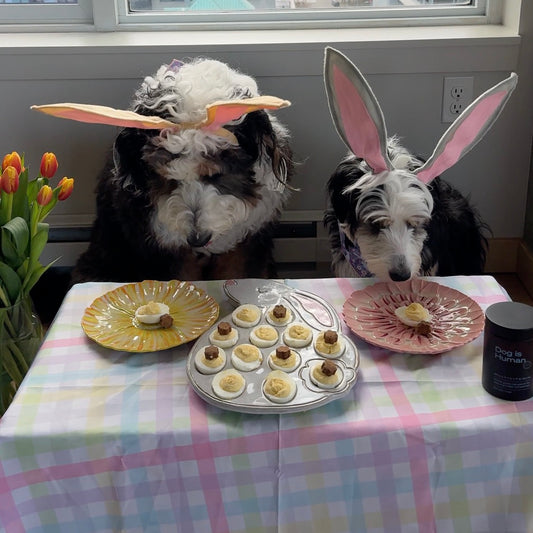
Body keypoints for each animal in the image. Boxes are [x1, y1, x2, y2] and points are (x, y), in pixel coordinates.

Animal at [34, 57, 290, 282]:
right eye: (169, 178)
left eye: (217, 174)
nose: (197, 239)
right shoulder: (163, 250)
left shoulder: (247, 243)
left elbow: (240, 274)